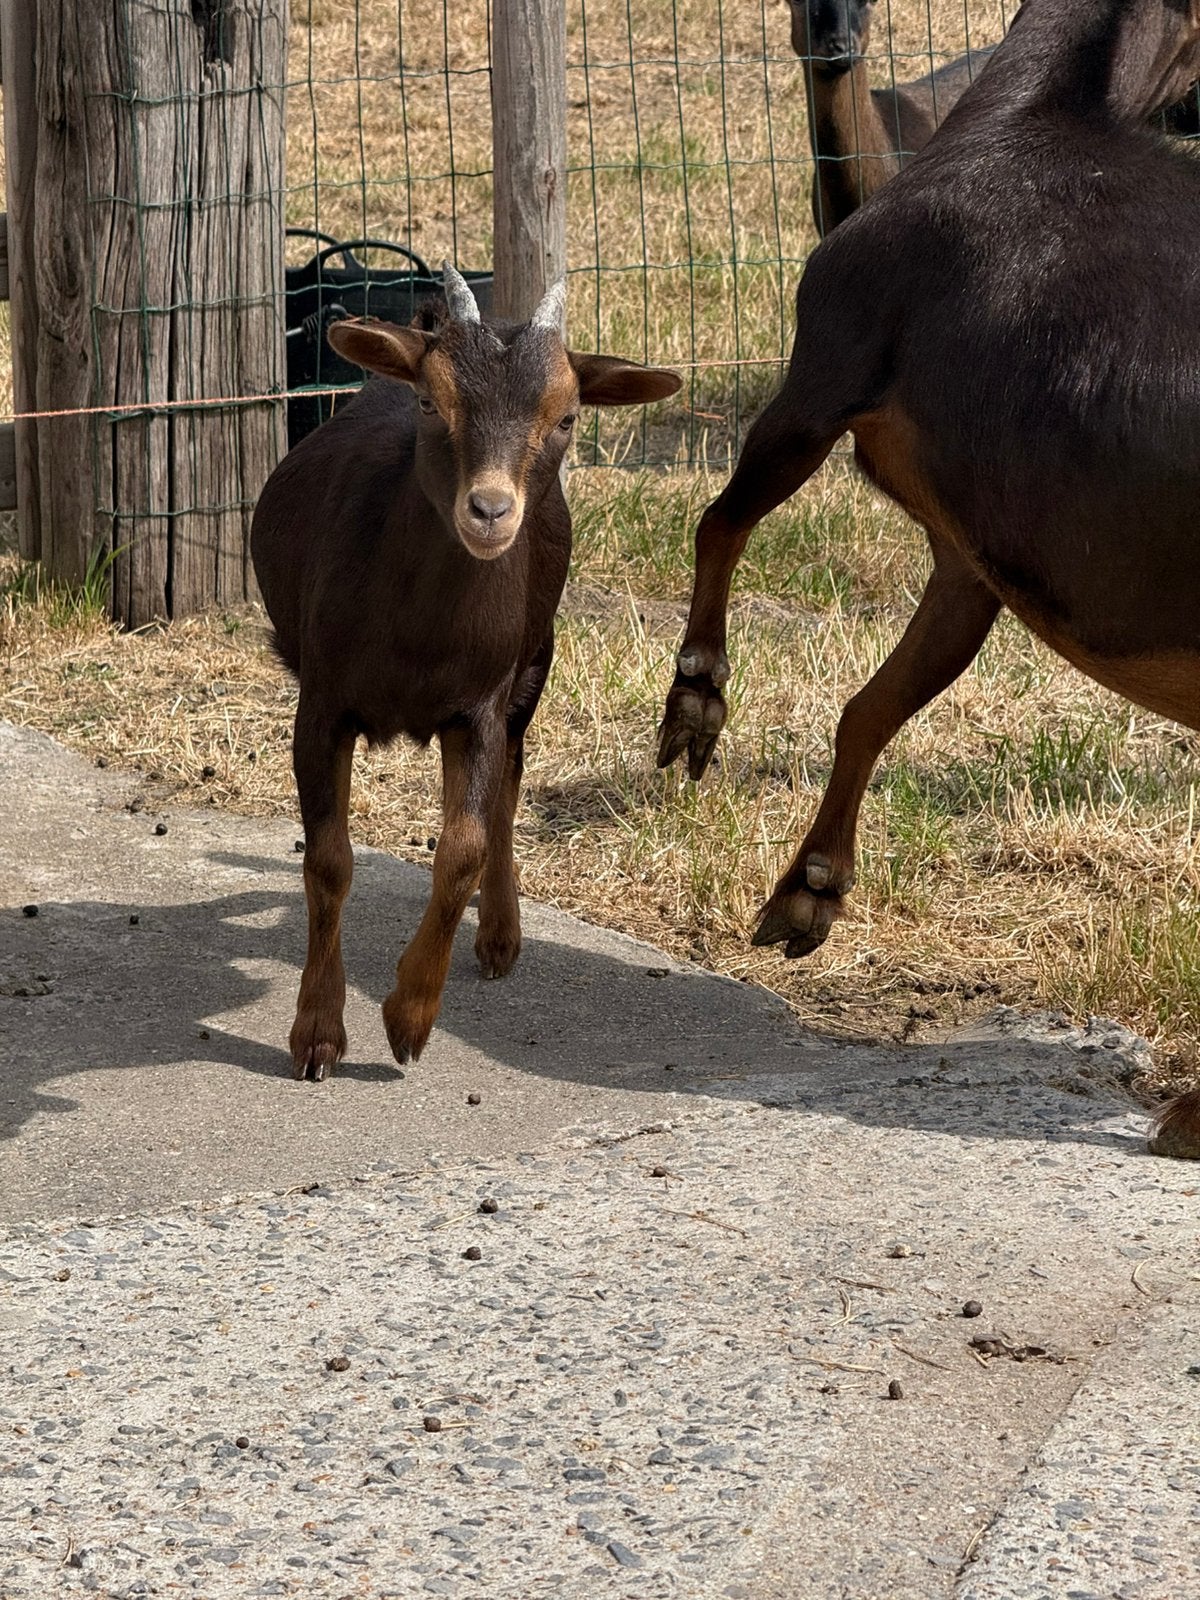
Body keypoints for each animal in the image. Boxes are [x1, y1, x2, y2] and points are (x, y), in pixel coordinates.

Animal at [253, 265, 680, 1081]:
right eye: (431, 402)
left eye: (567, 417)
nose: (489, 511)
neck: (418, 631)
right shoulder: (322, 704)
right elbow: (328, 860)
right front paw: (318, 1032)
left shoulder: (479, 703)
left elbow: (463, 849)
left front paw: (409, 1018)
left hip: (533, 663)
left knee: (507, 785)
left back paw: (500, 936)